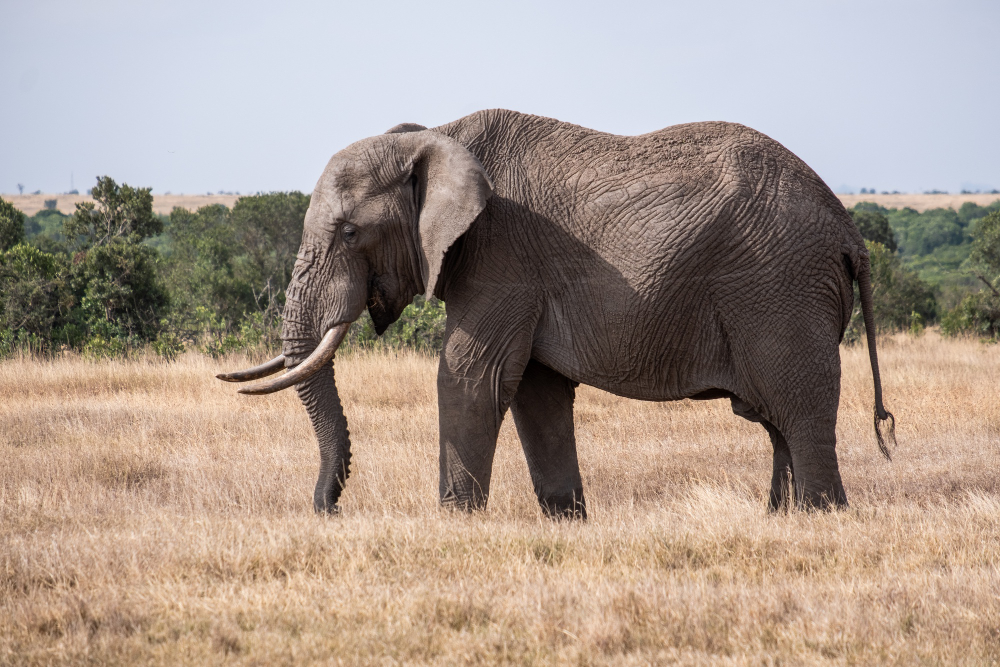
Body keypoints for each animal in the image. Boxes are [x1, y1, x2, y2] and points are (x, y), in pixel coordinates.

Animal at [217, 108, 892, 516]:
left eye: (350, 233)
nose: (327, 509)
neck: (435, 134)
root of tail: (849, 233)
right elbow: (535, 392)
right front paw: (568, 520)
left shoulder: (501, 254)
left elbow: (470, 376)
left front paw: (454, 521)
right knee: (775, 420)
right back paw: (781, 518)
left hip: (781, 289)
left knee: (799, 412)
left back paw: (823, 518)